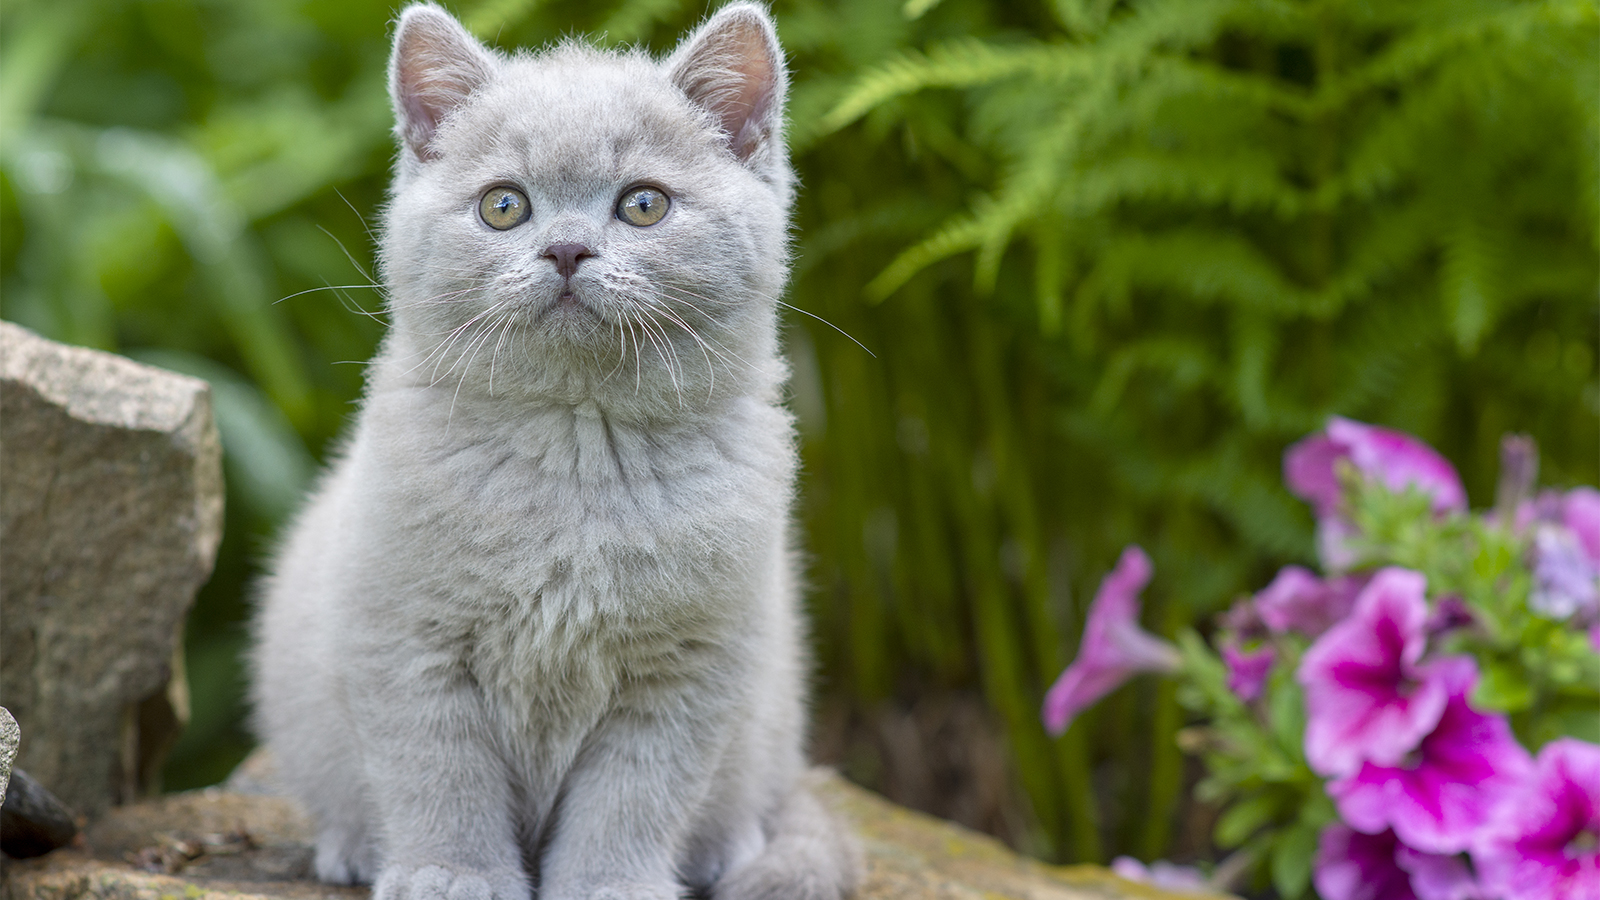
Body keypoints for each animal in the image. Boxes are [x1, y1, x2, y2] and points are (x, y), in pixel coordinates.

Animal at [249, 3, 857, 890]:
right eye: (503, 206)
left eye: (644, 205)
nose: (567, 249)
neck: (578, 446)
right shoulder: (405, 642)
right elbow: (439, 774)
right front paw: (450, 876)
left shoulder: (688, 670)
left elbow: (634, 797)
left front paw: (610, 885)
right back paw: (354, 847)